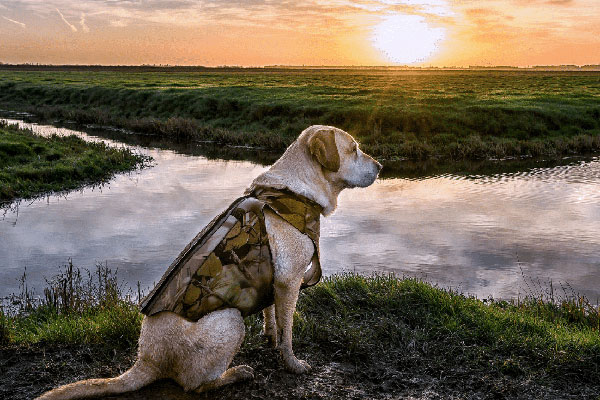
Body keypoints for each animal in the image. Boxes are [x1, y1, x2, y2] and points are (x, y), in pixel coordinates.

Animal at [38, 126, 380, 400]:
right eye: (353, 149)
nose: (380, 166)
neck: (293, 192)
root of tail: (146, 359)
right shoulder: (289, 282)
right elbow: (287, 334)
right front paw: (292, 364)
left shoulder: (273, 280)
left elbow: (271, 316)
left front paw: (269, 336)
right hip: (230, 320)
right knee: (195, 384)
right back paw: (235, 374)